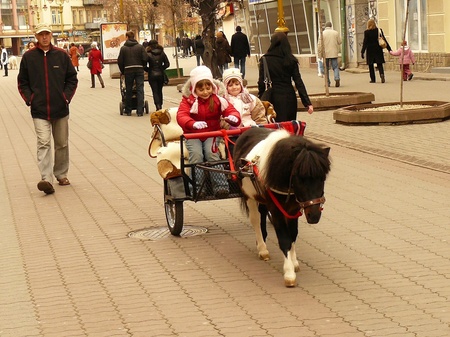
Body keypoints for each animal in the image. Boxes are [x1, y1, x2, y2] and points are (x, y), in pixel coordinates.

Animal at [236, 127, 330, 284]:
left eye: (322, 178)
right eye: (300, 178)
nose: (314, 215)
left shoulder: (293, 209)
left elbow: (293, 234)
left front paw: (294, 262)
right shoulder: (276, 211)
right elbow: (284, 239)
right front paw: (289, 272)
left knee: (262, 215)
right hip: (249, 196)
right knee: (255, 219)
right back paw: (262, 249)